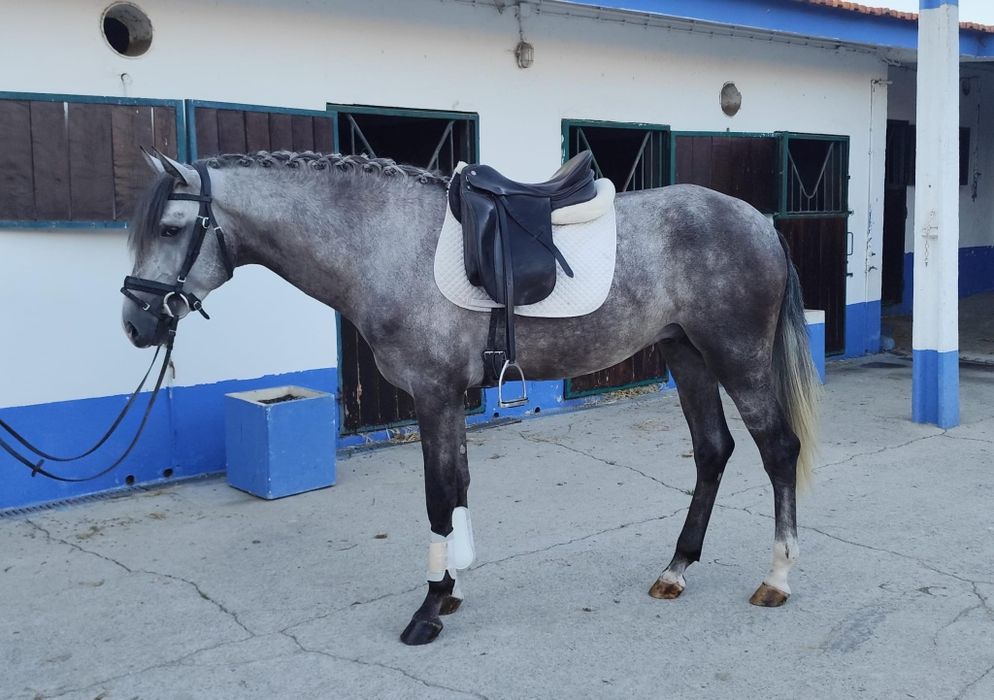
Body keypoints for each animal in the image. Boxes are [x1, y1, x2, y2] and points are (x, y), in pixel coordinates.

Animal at [123, 149, 820, 646]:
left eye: (171, 227)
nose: (136, 325)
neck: (383, 241)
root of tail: (759, 221)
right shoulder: (451, 397)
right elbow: (456, 487)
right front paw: (452, 587)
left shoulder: (433, 394)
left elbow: (438, 495)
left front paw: (429, 609)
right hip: (688, 356)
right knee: (713, 450)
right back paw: (676, 569)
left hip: (736, 358)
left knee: (778, 449)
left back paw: (778, 577)